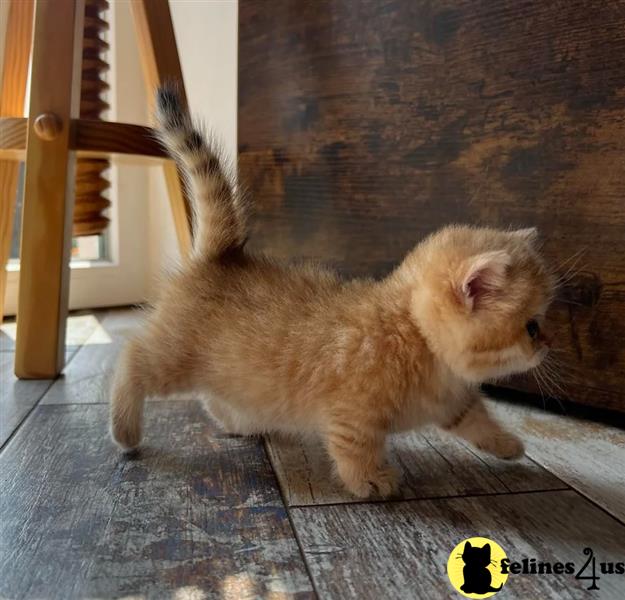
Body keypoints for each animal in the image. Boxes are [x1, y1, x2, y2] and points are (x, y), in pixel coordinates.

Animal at [109, 86, 552, 500]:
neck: (415, 338)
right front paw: (371, 480)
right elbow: (355, 448)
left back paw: (239, 423)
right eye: (532, 326)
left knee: (214, 396)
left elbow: (478, 418)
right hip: (173, 356)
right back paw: (124, 430)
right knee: (132, 359)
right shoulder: (352, 414)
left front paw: (508, 444)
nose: (547, 344)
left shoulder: (453, 402)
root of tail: (224, 256)